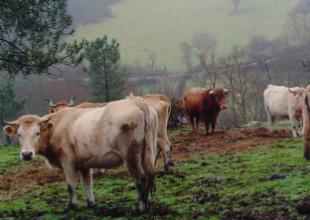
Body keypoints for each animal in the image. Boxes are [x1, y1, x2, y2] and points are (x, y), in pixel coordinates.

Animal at [3, 96, 156, 211]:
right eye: (19, 134)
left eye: (37, 133)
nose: (26, 154)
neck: (57, 127)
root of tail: (136, 101)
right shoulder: (84, 165)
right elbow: (87, 184)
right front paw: (90, 203)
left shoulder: (67, 162)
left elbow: (71, 185)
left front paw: (71, 205)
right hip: (146, 154)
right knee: (148, 176)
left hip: (131, 156)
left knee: (140, 178)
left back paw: (140, 207)